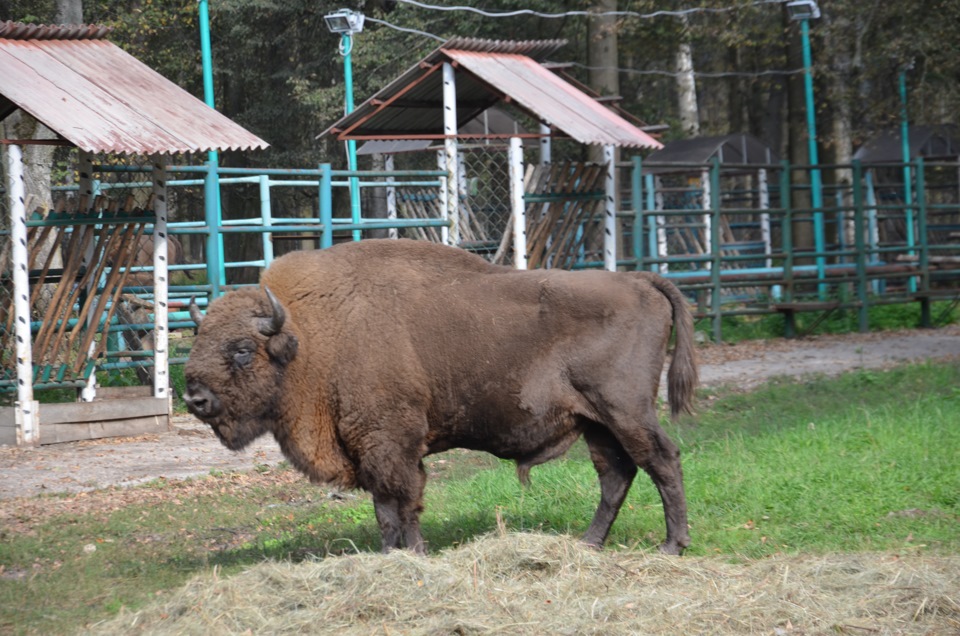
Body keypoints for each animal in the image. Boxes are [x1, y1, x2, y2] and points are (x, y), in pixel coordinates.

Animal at [184, 237, 696, 552]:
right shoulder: (369, 450)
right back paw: (589, 544)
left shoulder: (391, 445)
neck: (308, 334)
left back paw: (671, 546)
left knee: (662, 461)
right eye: (201, 336)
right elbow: (385, 511)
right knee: (616, 474)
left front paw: (414, 553)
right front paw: (390, 555)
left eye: (242, 350)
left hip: (625, 410)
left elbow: (404, 503)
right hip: (595, 422)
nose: (194, 399)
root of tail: (640, 280)